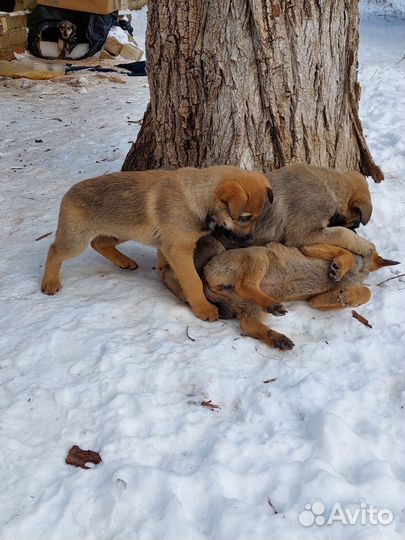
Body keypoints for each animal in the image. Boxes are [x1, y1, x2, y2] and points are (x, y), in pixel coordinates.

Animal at [41, 166, 274, 320]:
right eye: (244, 218)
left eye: (256, 217)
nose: (249, 241)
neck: (198, 198)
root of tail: (68, 193)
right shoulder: (179, 250)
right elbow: (193, 281)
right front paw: (203, 308)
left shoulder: (169, 247)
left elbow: (168, 270)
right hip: (76, 240)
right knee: (54, 250)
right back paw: (50, 282)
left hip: (125, 229)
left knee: (100, 243)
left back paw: (124, 262)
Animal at [200, 240, 398, 350]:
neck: (359, 270)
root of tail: (206, 273)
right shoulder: (310, 248)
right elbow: (347, 254)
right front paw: (339, 269)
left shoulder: (316, 300)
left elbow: (365, 291)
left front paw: (346, 296)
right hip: (259, 257)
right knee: (245, 285)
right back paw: (273, 306)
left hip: (252, 306)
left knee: (247, 324)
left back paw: (277, 338)